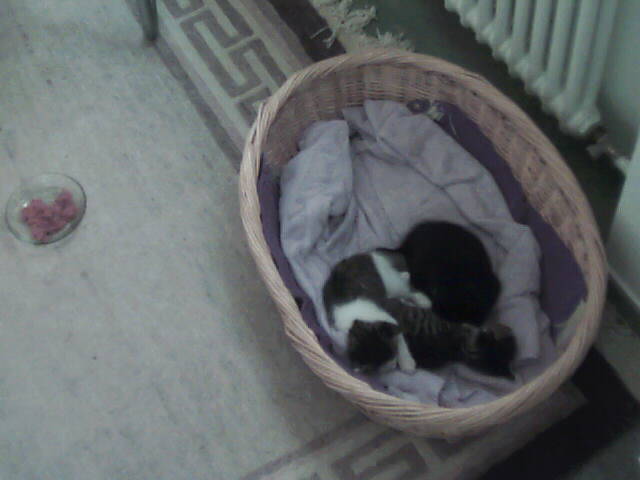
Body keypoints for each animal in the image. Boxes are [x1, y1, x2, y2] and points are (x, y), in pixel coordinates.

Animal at [323, 249, 515, 378]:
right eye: (384, 363)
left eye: (393, 353)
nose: (393, 366)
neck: (356, 319)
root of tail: (364, 255)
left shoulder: (389, 312)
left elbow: (400, 335)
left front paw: (407, 361)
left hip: (388, 280)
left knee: (403, 284)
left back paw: (419, 294)